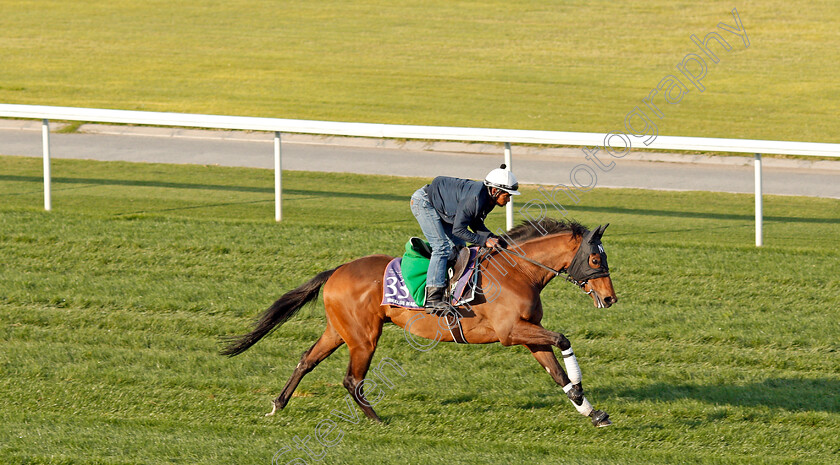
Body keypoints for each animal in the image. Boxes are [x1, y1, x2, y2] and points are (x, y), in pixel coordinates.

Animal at [223, 218, 616, 428]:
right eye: (595, 259)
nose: (611, 298)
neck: (518, 271)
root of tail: (337, 270)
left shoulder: (528, 334)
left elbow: (557, 372)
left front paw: (590, 410)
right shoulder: (510, 333)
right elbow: (563, 339)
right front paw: (582, 393)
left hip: (338, 330)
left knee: (306, 360)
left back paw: (278, 404)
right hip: (364, 337)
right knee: (352, 380)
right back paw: (376, 419)